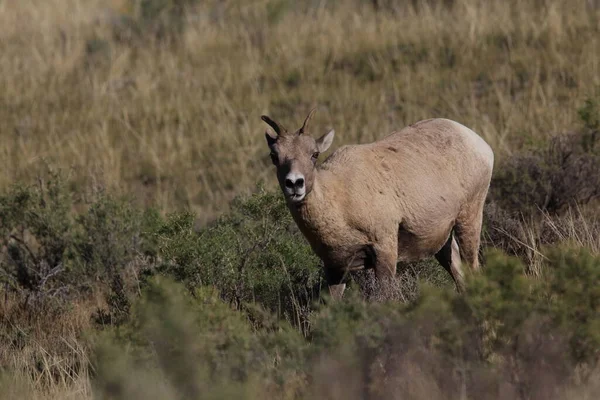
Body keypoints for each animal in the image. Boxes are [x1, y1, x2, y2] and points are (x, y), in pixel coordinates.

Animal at [262, 108, 492, 298]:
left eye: (314, 154)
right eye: (274, 156)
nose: (294, 183)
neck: (340, 203)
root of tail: (479, 143)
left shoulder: (384, 252)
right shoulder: (335, 268)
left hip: (469, 220)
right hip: (443, 242)